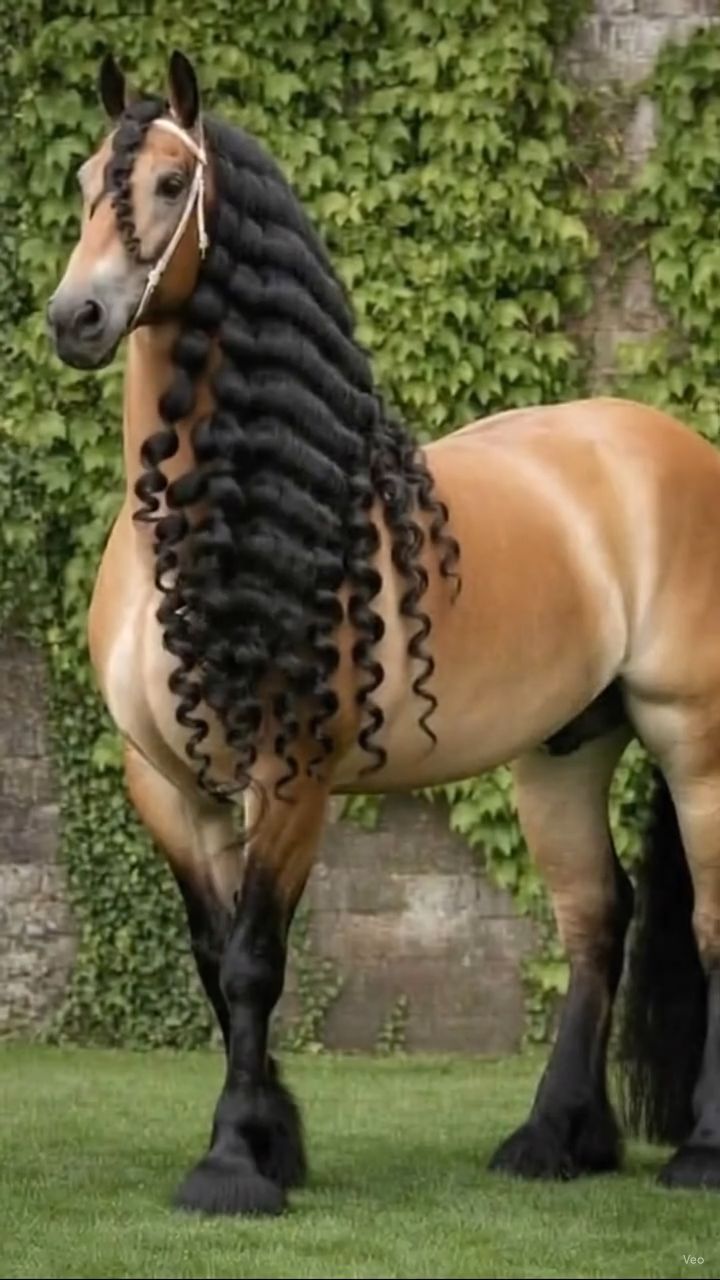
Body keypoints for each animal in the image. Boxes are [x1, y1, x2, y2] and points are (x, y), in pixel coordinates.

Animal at [44, 49, 720, 1215]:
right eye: (86, 180)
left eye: (173, 183)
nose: (72, 319)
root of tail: (671, 444)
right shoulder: (163, 782)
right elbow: (211, 957)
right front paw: (272, 1139)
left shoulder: (292, 774)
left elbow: (255, 961)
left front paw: (232, 1166)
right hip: (565, 749)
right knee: (598, 915)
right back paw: (555, 1140)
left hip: (693, 735)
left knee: (714, 923)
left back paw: (703, 1153)